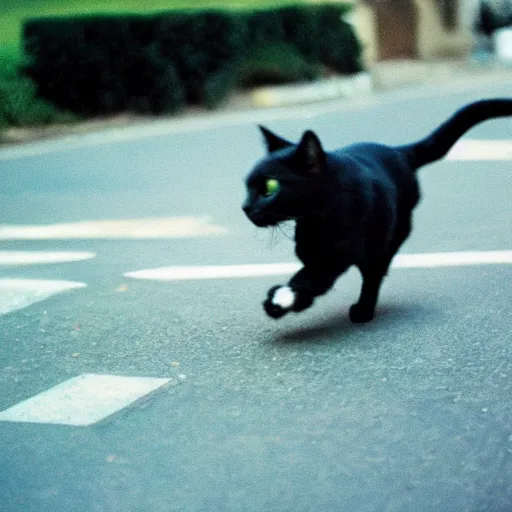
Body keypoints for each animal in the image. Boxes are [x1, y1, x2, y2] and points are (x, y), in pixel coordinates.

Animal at [242, 98, 512, 322]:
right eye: (247, 186)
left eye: (270, 187)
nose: (245, 207)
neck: (316, 220)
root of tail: (399, 151)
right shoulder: (312, 253)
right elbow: (310, 275)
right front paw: (293, 301)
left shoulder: (337, 256)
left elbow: (311, 277)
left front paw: (283, 300)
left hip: (388, 238)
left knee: (374, 274)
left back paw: (363, 311)